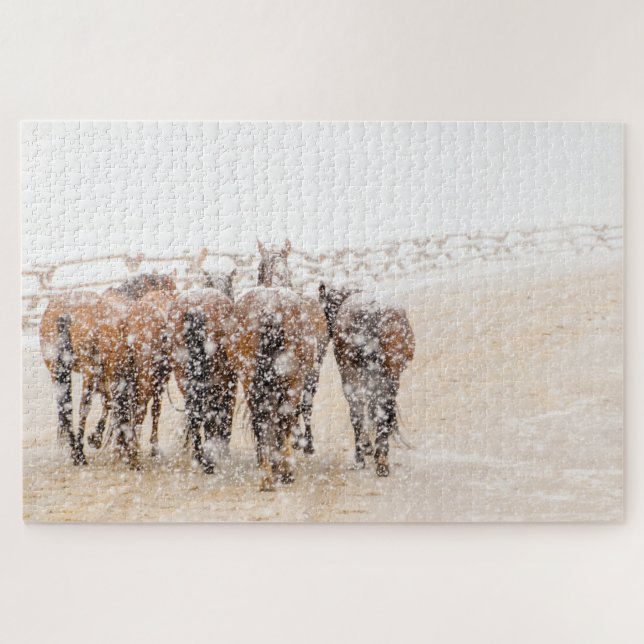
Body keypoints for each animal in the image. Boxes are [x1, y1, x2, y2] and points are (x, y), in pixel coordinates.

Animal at [39, 291, 104, 465]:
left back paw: (71, 448)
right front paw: (96, 438)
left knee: (64, 406)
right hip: (86, 372)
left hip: (58, 371)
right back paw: (78, 453)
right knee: (82, 407)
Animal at [169, 288, 237, 473]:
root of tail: (196, 307)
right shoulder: (228, 387)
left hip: (183, 379)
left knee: (194, 415)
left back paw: (200, 457)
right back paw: (207, 460)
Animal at [234, 240, 317, 490]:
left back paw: (266, 474)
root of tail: (271, 309)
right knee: (282, 419)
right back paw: (282, 471)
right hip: (292, 383)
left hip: (250, 382)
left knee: (262, 420)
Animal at [319, 284, 415, 477]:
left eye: (325, 311)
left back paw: (363, 457)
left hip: (355, 376)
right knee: (381, 411)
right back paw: (380, 458)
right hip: (385, 377)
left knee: (358, 413)